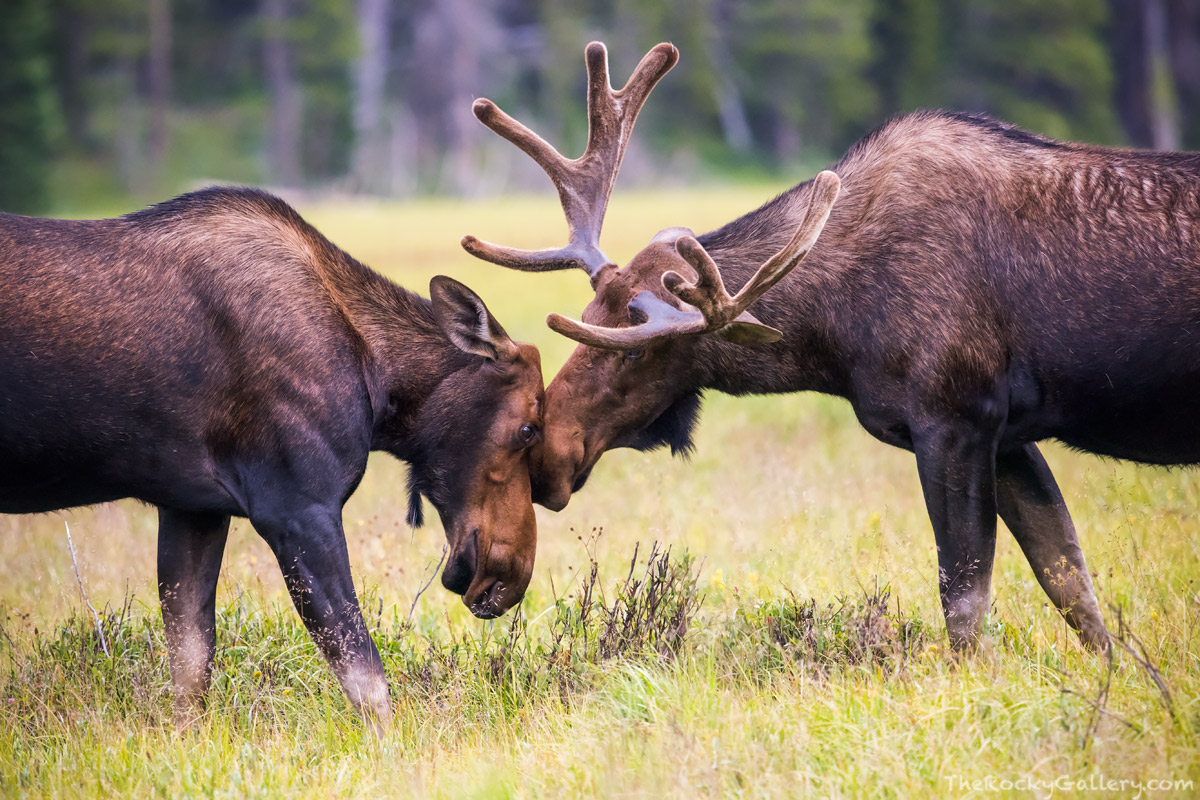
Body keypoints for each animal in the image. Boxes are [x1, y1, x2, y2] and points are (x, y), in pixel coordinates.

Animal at [0, 189, 544, 734]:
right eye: (529, 428)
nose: (513, 574)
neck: (376, 376)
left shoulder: (193, 508)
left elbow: (190, 672)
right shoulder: (296, 506)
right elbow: (367, 680)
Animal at [463, 40, 1200, 652]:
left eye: (637, 347)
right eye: (591, 311)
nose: (545, 453)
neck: (836, 338)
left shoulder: (957, 417)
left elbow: (964, 604)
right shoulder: (1011, 436)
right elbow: (1075, 590)